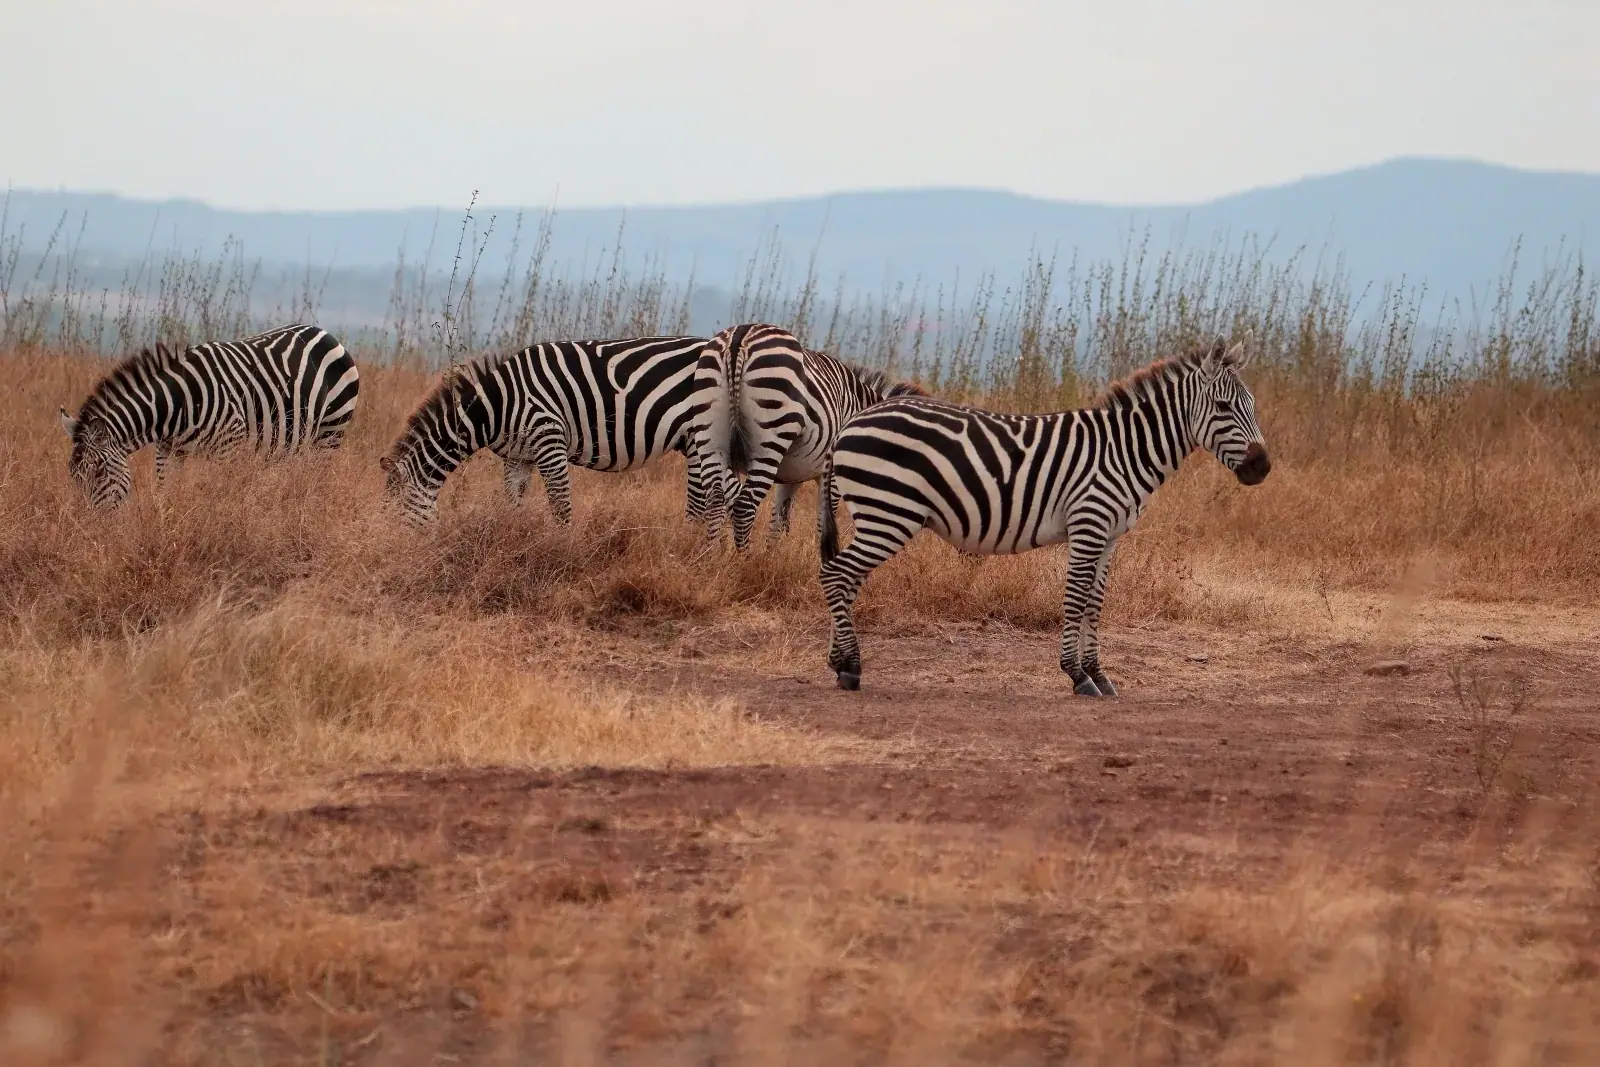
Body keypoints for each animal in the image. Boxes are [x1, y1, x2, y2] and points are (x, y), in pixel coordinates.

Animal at [57, 323, 359, 507]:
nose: (97, 528)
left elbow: (223, 494)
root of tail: (325, 332)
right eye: (73, 475)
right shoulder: (169, 450)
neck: (176, 405)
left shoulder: (229, 445)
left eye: (98, 471)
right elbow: (166, 491)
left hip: (330, 432)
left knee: (319, 479)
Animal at [380, 334, 715, 525]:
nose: (396, 554)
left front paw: (562, 554)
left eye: (396, 518)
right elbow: (513, 505)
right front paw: (513, 542)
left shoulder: (549, 439)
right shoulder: (518, 457)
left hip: (703, 436)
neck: (496, 406)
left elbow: (561, 507)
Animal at [692, 322, 926, 548]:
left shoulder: (790, 476)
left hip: (711, 438)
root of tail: (741, 335)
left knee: (715, 499)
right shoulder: (830, 476)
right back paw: (742, 558)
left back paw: (711, 554)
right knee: (744, 506)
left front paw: (771, 556)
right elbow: (824, 523)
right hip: (769, 440)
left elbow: (778, 522)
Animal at [816, 336, 1271, 692]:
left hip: (878, 515)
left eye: (1252, 405)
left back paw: (840, 662)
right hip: (890, 513)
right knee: (835, 575)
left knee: (846, 580)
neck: (1124, 451)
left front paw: (1099, 674)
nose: (1262, 467)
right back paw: (852, 667)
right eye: (1223, 406)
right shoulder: (1088, 524)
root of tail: (850, 424)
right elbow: (1075, 598)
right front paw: (1077, 676)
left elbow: (1095, 602)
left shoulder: (1109, 536)